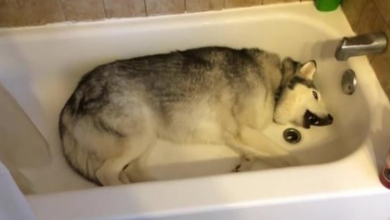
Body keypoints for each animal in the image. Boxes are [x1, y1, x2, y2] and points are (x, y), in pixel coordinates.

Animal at [59, 46, 334, 186]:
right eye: (316, 94)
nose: (331, 119)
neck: (273, 83)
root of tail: (75, 95)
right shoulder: (244, 131)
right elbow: (289, 157)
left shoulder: (232, 135)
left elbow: (255, 154)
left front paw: (244, 165)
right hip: (138, 137)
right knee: (105, 174)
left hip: (148, 139)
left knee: (132, 172)